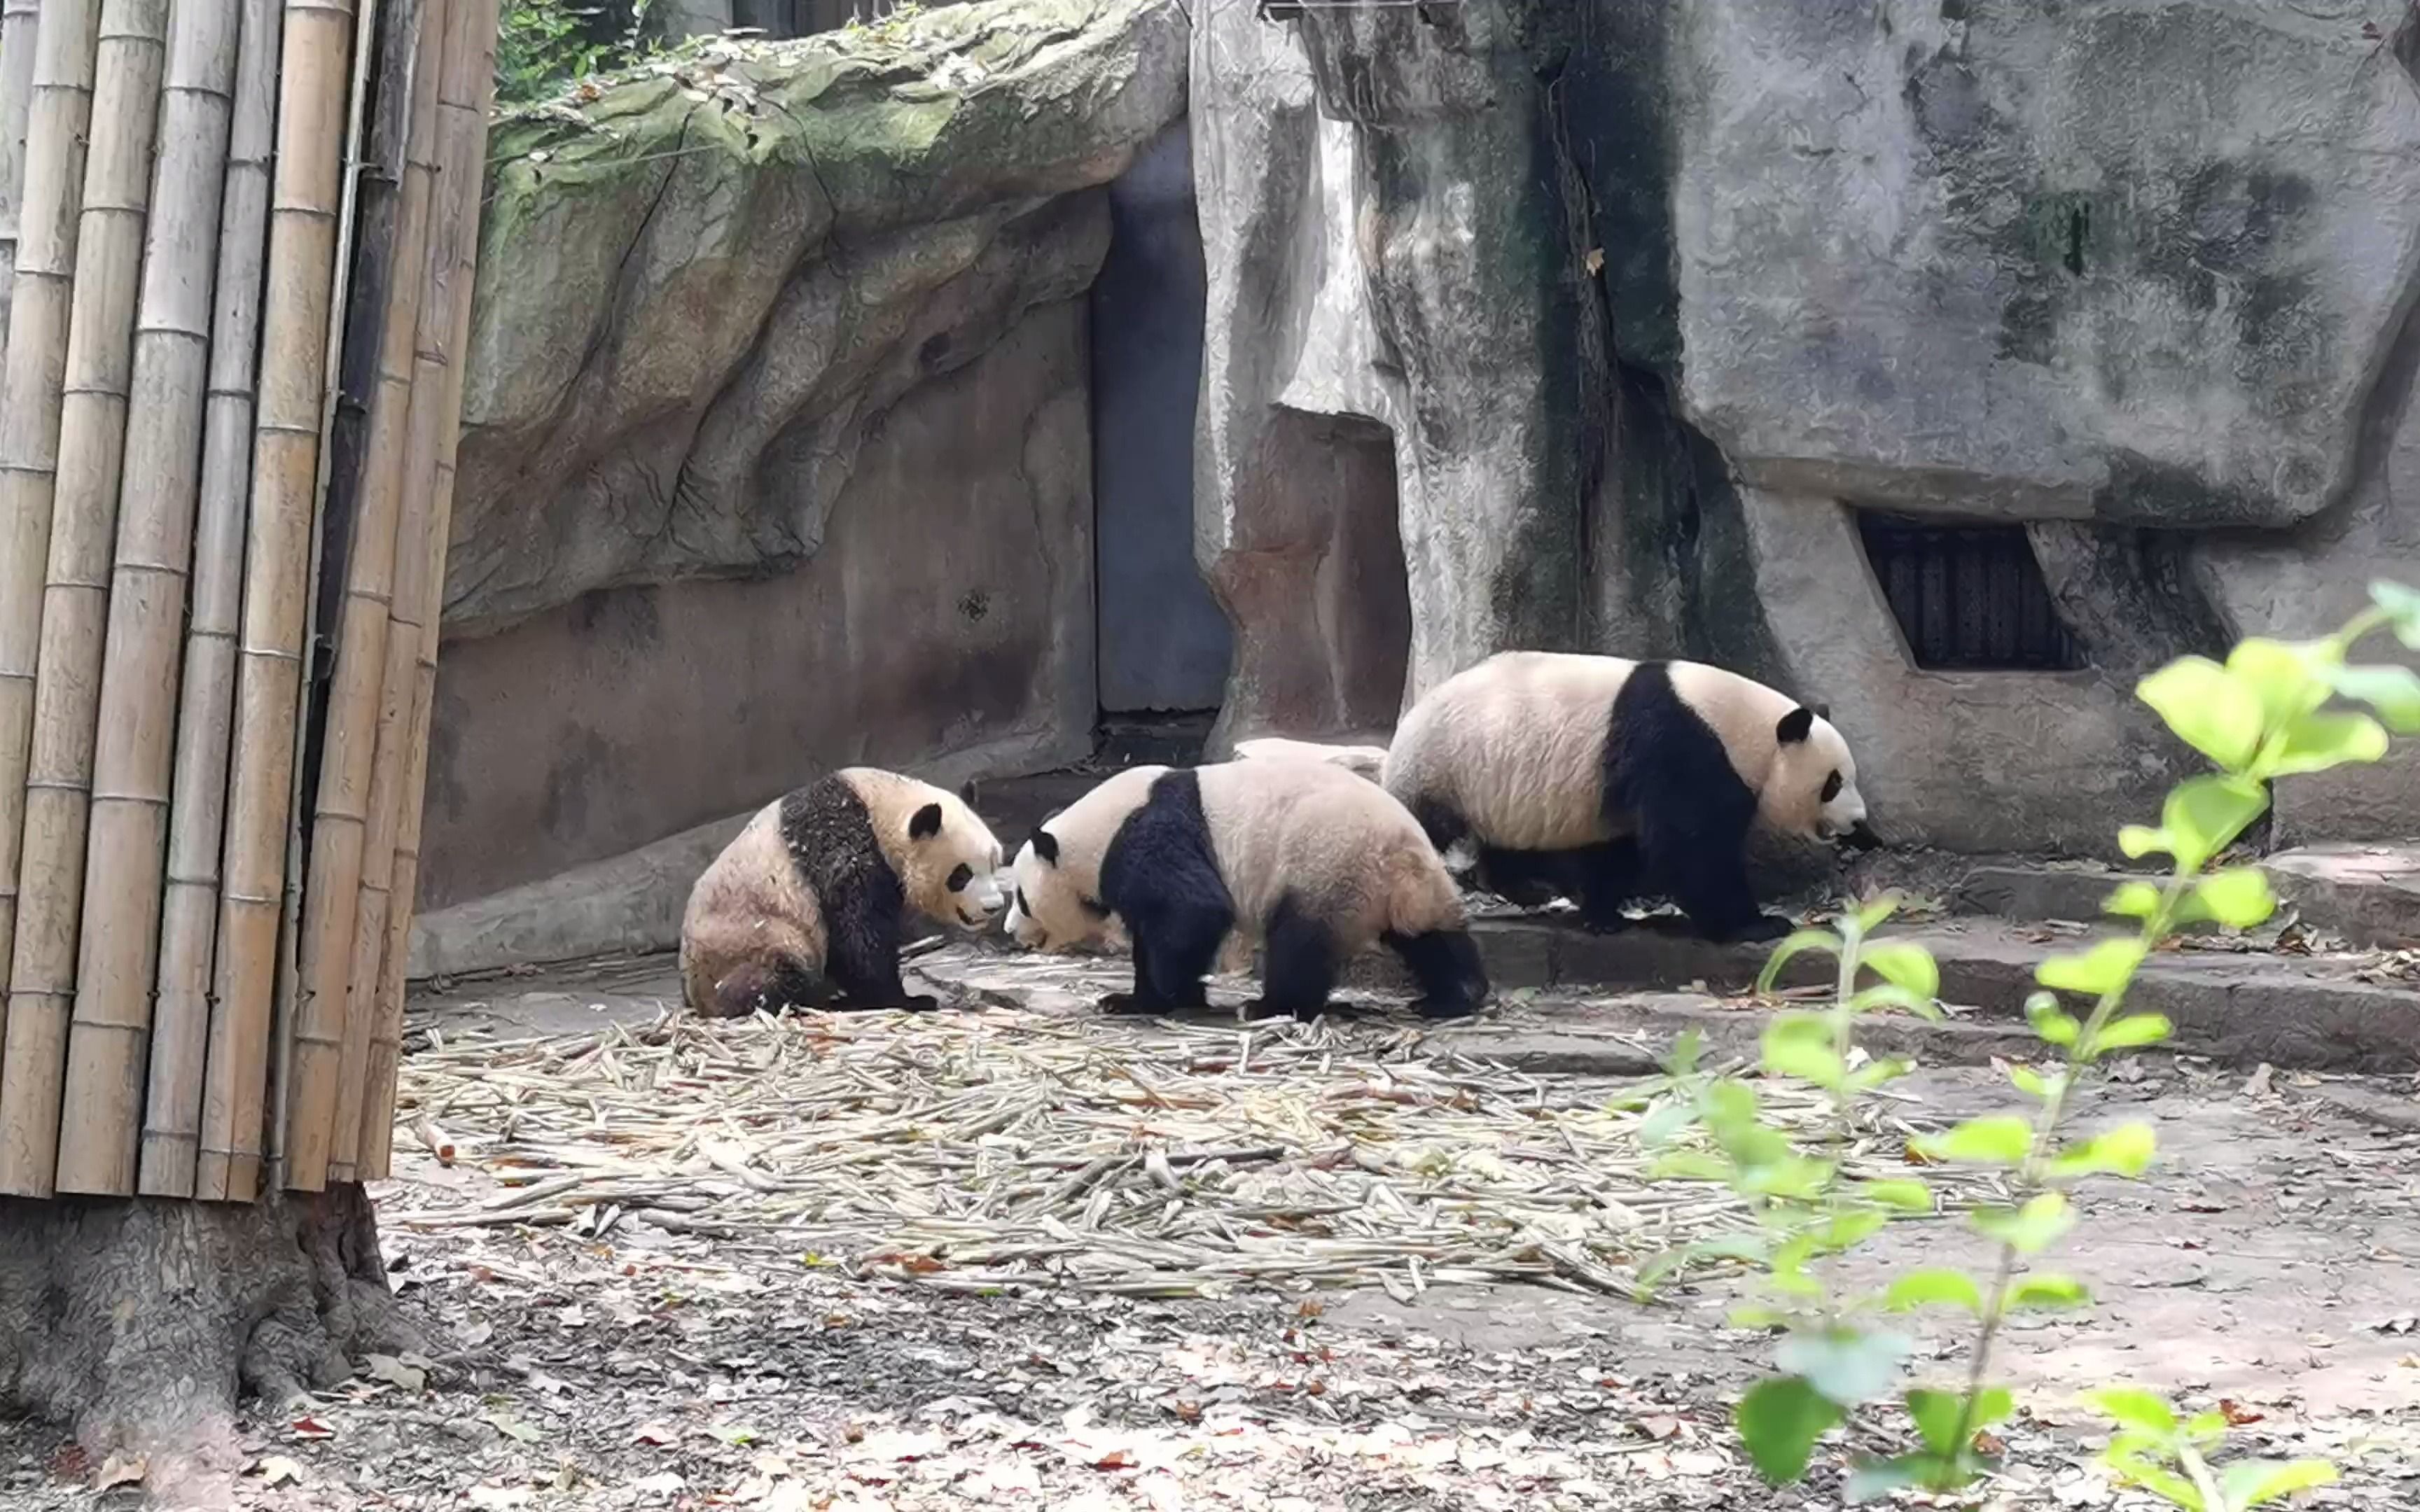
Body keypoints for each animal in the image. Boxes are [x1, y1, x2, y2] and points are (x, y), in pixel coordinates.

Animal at [677, 764, 1006, 1016]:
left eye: (995, 862)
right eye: (961, 874)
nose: (993, 906)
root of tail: (697, 997)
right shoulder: (845, 851)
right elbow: (857, 936)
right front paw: (910, 999)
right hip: (748, 940)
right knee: (774, 976)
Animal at [992, 760, 1481, 1021]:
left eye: (1022, 899)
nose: (1011, 930)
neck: (1094, 832)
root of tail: (1400, 853)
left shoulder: (1144, 840)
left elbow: (1193, 910)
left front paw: (1176, 993)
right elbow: (1153, 933)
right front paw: (1130, 1000)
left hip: (1326, 866)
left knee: (1300, 942)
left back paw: (1269, 1006)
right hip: (1405, 888)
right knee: (1430, 937)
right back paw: (1453, 996)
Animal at [1384, 648, 1868, 943]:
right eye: (1833, 782)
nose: (1859, 823)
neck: (1743, 726)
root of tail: (1410, 717)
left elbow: (1625, 847)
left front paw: (1603, 914)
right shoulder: (1682, 745)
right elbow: (1689, 849)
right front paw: (1757, 924)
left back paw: (1530, 889)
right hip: (1443, 769)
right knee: (1425, 825)